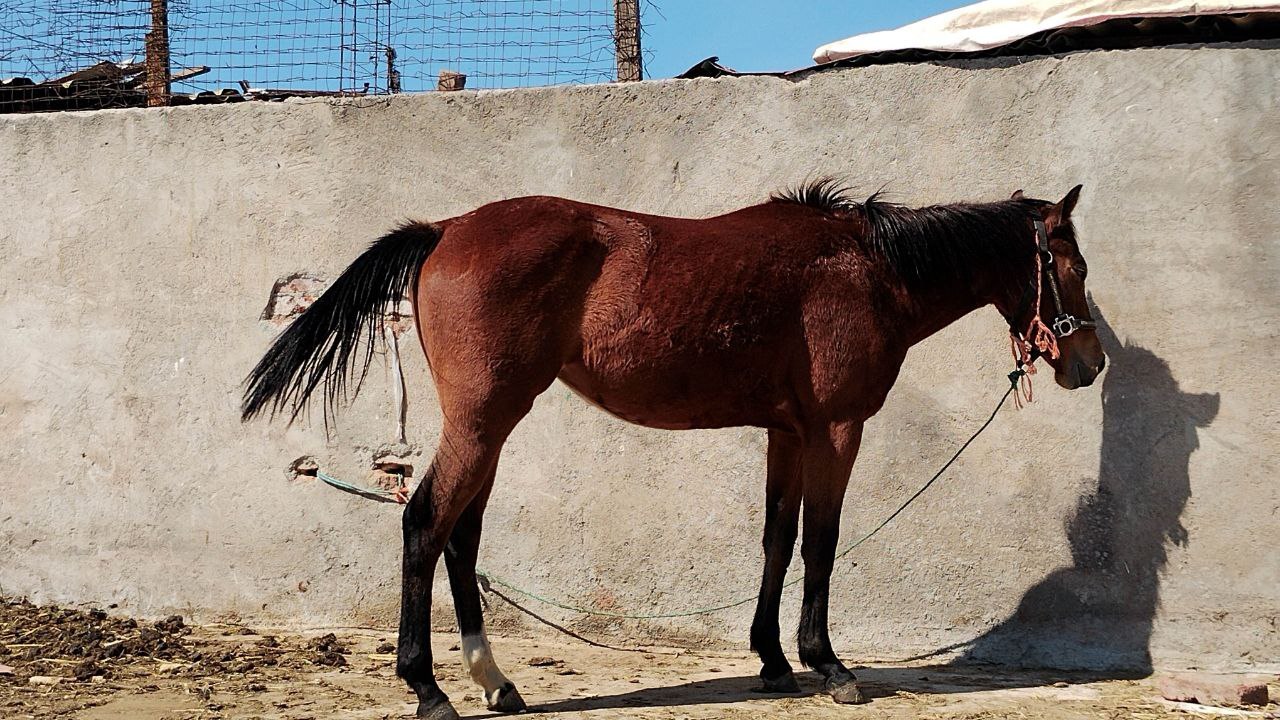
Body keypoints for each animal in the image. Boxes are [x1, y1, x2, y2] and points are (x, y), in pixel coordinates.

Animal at [244, 176, 1105, 712]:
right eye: (1077, 264)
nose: (1088, 363)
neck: (868, 268)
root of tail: (447, 229)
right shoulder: (835, 429)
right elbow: (821, 542)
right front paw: (827, 664)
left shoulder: (787, 432)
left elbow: (777, 538)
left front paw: (773, 661)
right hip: (483, 421)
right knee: (426, 525)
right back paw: (430, 690)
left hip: (489, 427)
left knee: (461, 537)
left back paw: (497, 683)